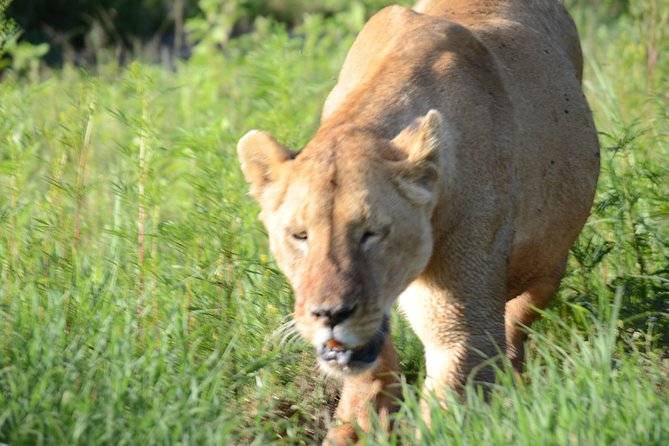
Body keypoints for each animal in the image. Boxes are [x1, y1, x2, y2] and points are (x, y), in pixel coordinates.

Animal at [237, 0, 599, 443]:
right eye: (300, 235)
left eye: (373, 234)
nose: (331, 314)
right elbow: (368, 382)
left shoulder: (463, 327)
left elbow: (449, 407)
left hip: (550, 258)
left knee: (519, 322)